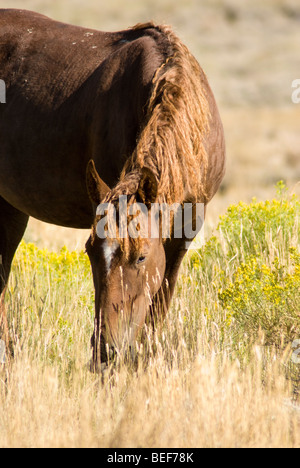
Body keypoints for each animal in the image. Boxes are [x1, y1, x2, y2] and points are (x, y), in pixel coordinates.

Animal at [0, 8, 225, 370]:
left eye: (141, 257)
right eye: (90, 251)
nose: (107, 350)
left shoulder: (184, 233)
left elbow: (158, 306)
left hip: (11, 208)